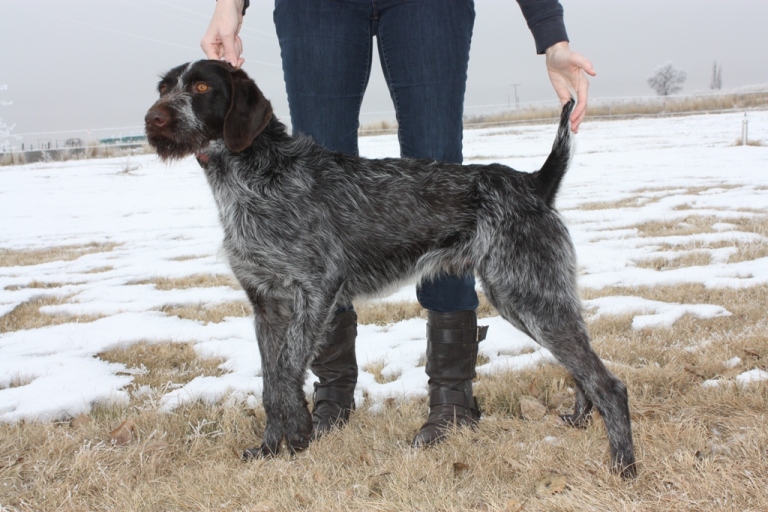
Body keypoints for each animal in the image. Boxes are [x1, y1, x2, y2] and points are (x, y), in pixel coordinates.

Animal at [144, 60, 636, 480]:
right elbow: (270, 382)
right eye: (164, 88)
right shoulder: (266, 304)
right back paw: (579, 420)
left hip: (527, 294)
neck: (250, 176)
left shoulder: (316, 288)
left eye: (202, 88)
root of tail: (534, 183)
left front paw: (299, 433)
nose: (153, 119)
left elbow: (285, 371)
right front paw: (269, 449)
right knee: (583, 369)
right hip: (530, 297)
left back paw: (624, 467)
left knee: (609, 383)